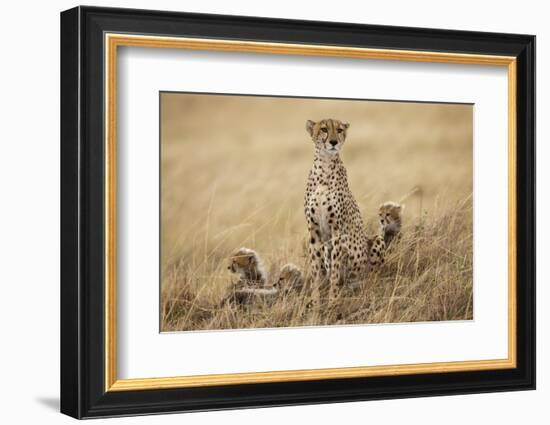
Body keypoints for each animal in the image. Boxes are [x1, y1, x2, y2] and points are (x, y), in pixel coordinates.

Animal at [304, 117, 386, 300]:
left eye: (340, 130)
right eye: (324, 129)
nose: (333, 142)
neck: (325, 166)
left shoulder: (337, 231)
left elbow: (335, 271)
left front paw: (333, 300)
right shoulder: (314, 230)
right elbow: (315, 270)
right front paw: (315, 300)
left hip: (375, 243)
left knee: (372, 276)